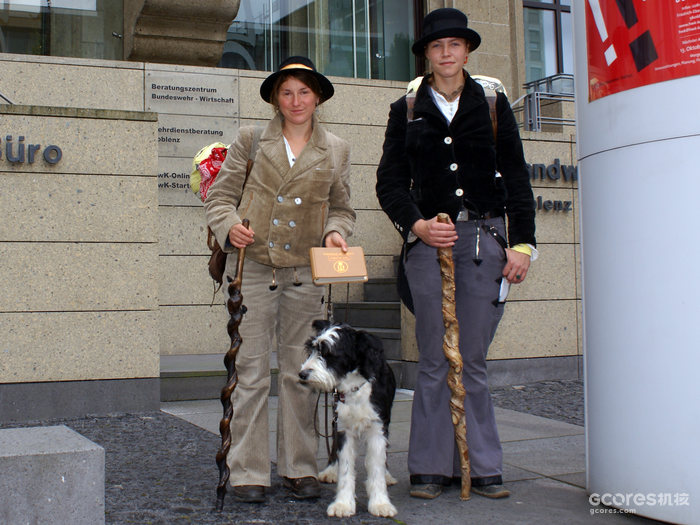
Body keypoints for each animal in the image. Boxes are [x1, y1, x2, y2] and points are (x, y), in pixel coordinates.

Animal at [299, 319, 398, 518]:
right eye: (312, 349)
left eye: (328, 354)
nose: (303, 374)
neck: (354, 388)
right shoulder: (343, 428)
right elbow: (345, 468)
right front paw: (343, 504)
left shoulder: (377, 428)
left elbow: (376, 466)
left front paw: (380, 503)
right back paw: (331, 470)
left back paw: (387, 475)